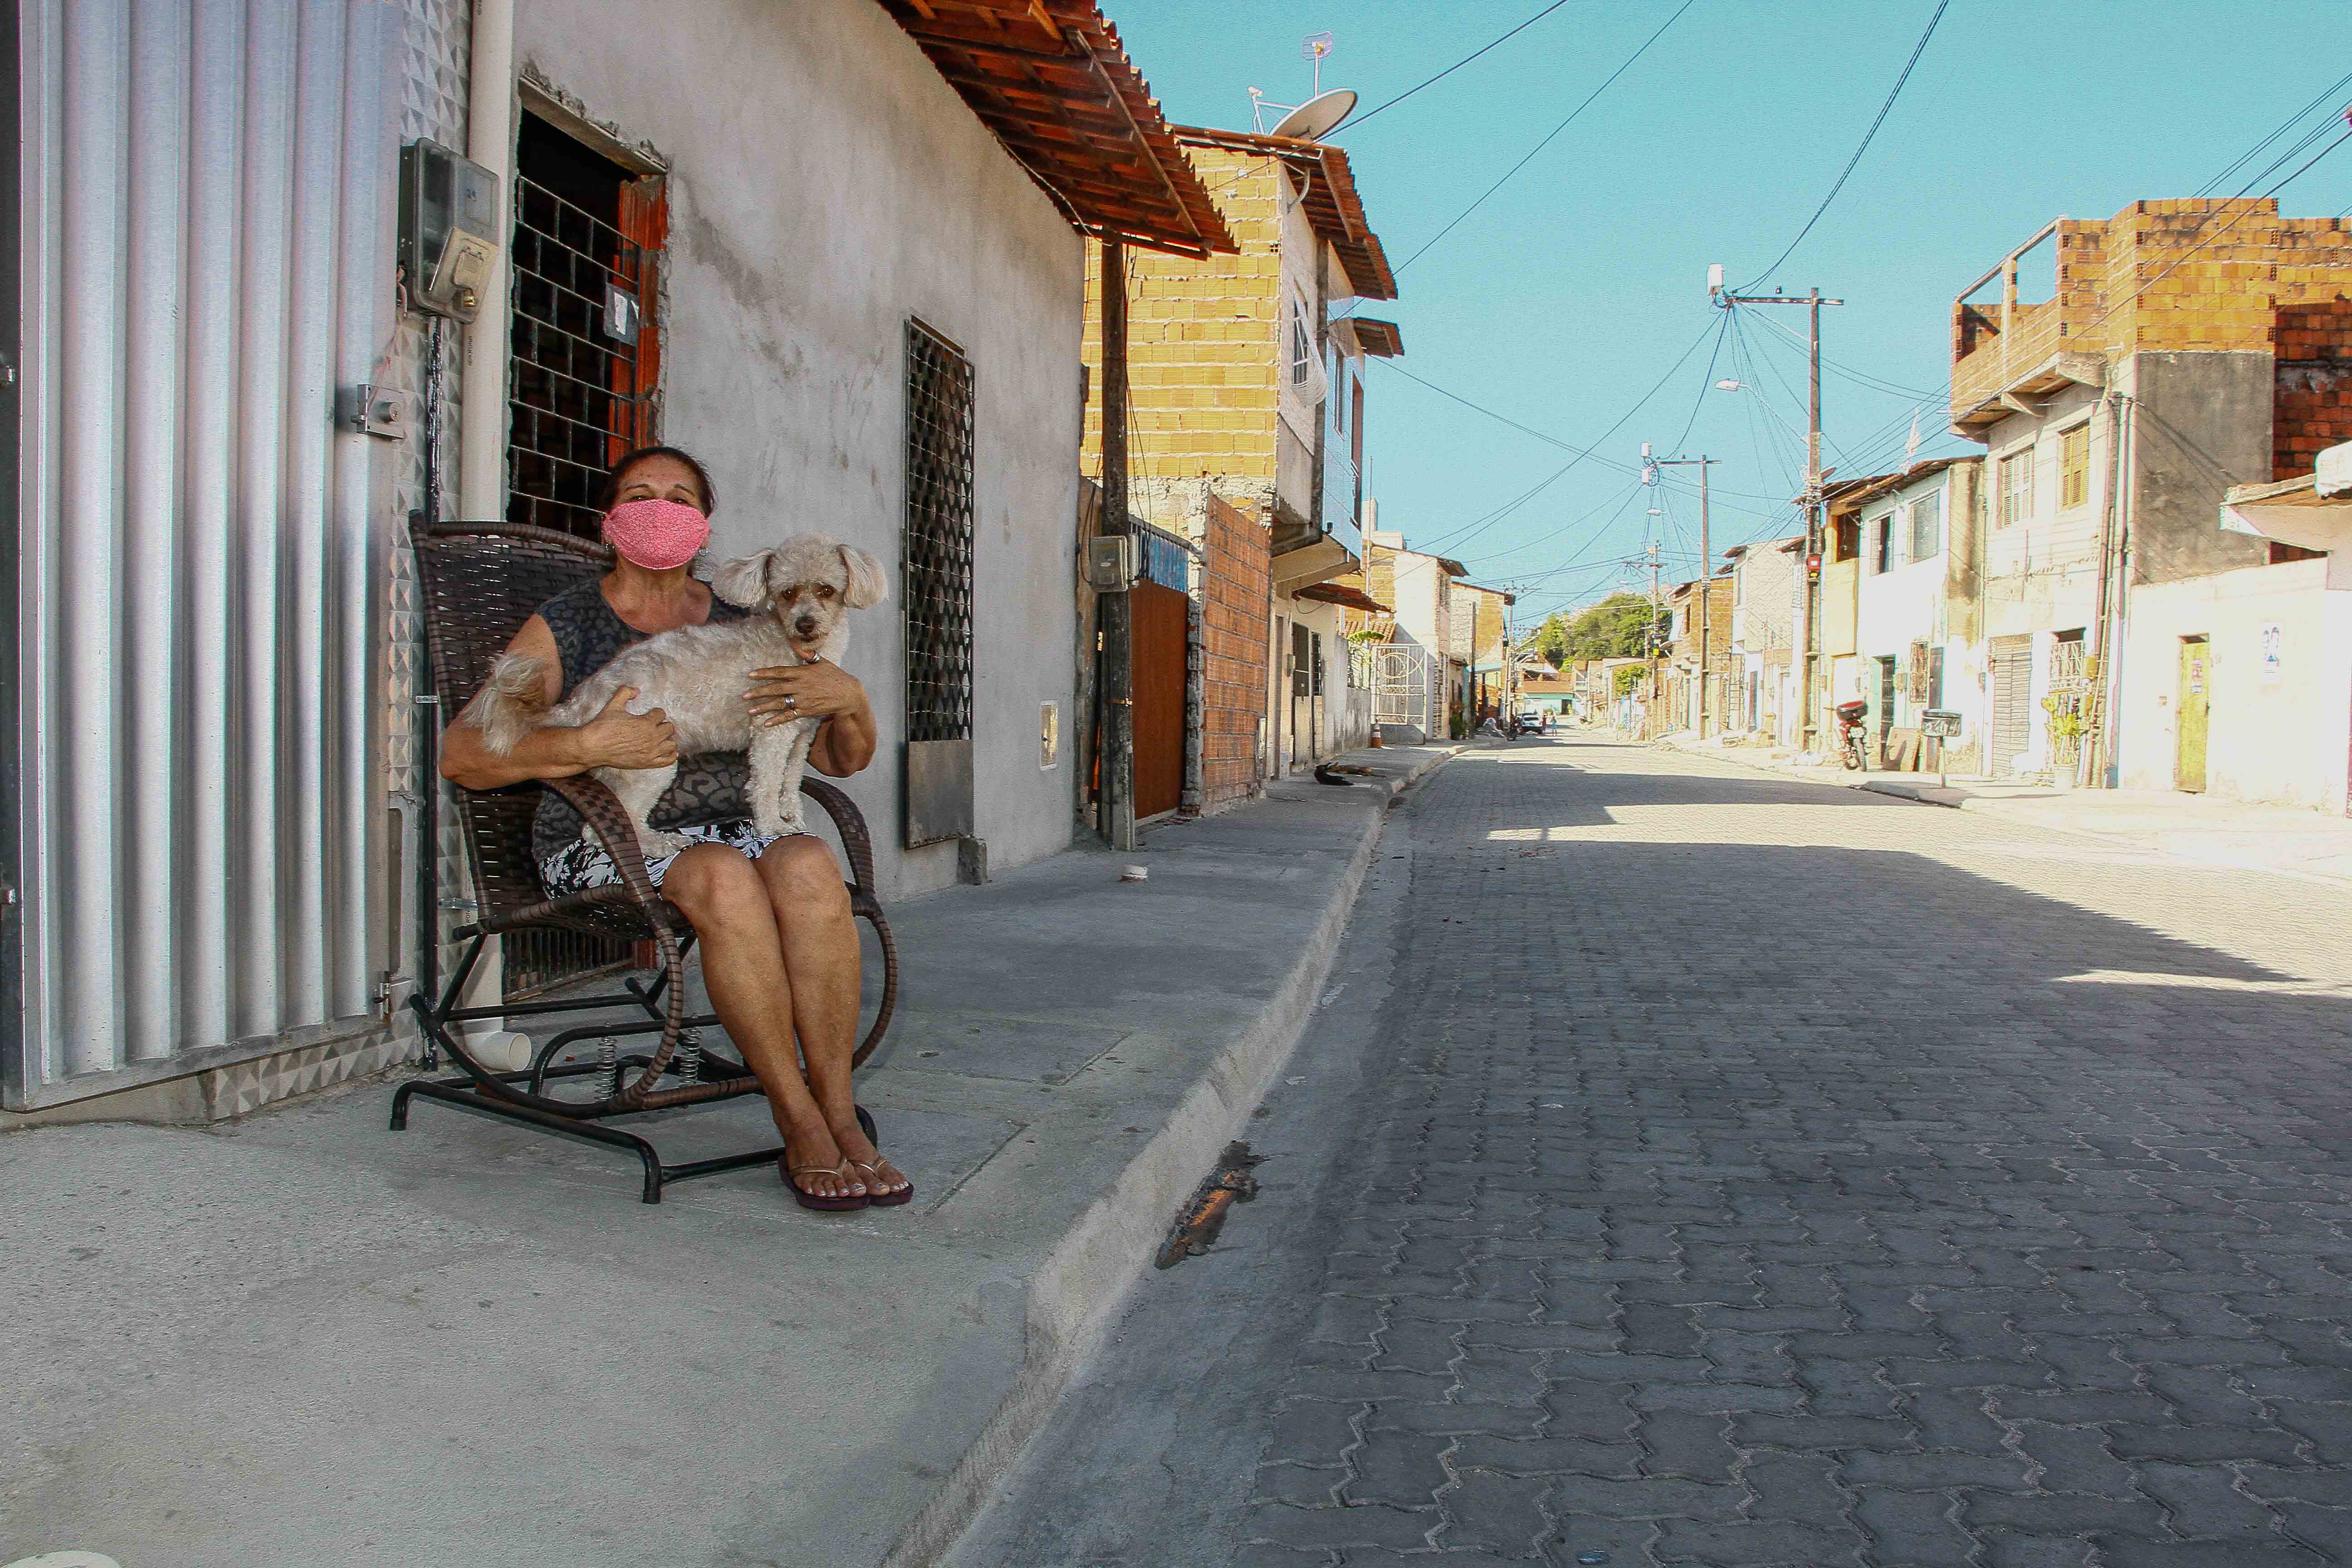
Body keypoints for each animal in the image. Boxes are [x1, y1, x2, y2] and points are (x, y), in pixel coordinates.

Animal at [472, 536, 884, 860]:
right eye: (787, 593)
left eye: (827, 590)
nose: (805, 624)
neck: (797, 650)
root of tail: (580, 705)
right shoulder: (771, 732)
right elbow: (767, 784)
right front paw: (772, 826)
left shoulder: (800, 734)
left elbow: (791, 781)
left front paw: (791, 816)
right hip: (650, 762)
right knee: (614, 825)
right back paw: (659, 845)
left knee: (599, 830)